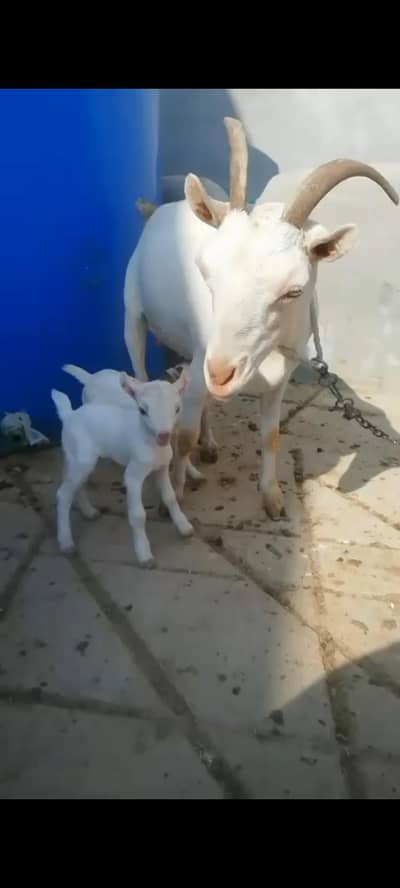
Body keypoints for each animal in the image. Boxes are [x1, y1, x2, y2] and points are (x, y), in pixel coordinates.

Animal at [51, 370, 193, 567]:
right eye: (142, 410)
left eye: (177, 408)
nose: (163, 436)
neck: (151, 445)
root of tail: (69, 415)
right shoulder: (133, 474)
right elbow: (138, 514)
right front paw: (144, 554)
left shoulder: (162, 468)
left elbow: (170, 498)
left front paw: (184, 526)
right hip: (81, 457)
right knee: (63, 494)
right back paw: (66, 542)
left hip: (78, 457)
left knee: (75, 484)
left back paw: (89, 512)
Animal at [124, 117, 399, 518]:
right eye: (205, 271)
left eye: (294, 291)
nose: (221, 373)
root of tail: (155, 209)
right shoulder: (202, 361)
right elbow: (184, 436)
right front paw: (173, 495)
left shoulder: (276, 379)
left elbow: (270, 436)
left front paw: (272, 497)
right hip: (134, 312)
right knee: (141, 370)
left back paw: (210, 443)